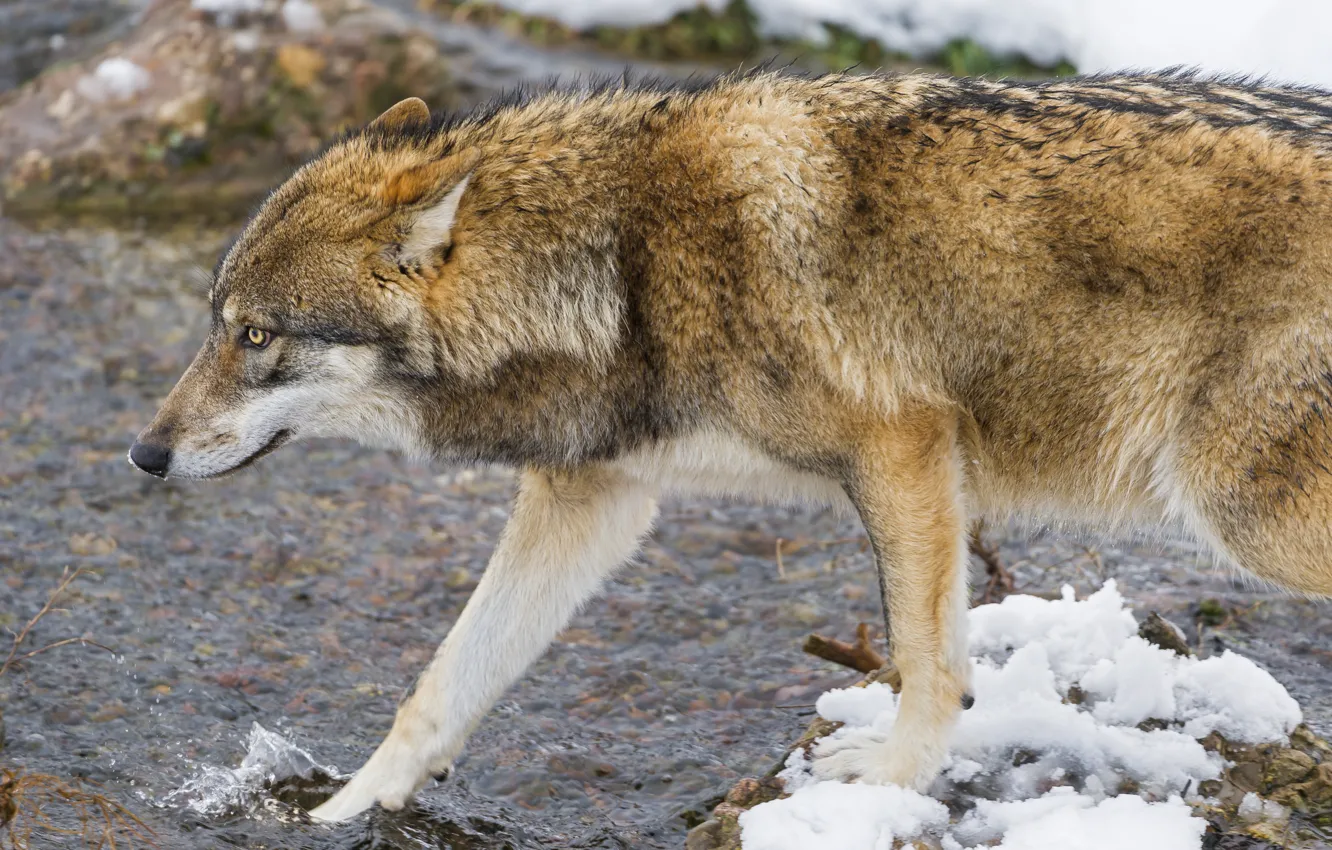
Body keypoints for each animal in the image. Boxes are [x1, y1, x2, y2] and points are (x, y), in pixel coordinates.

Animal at [129, 68, 1332, 821]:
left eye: (257, 336)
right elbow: (442, 684)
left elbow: (930, 663)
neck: (621, 265)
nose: (144, 455)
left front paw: (882, 785)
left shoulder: (903, 449)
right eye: (214, 322)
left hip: (1240, 510)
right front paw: (342, 809)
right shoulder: (594, 497)